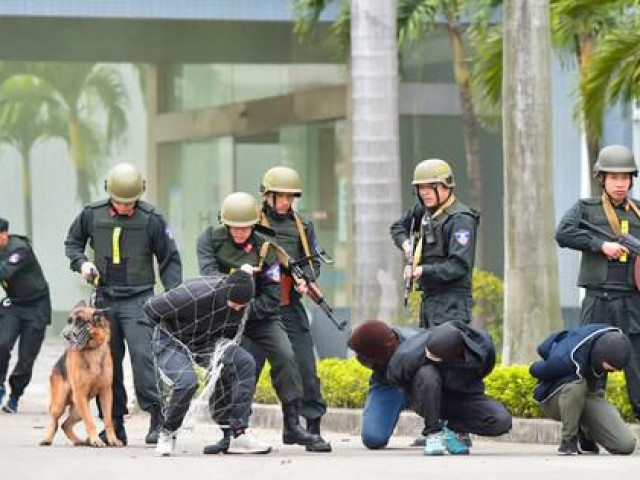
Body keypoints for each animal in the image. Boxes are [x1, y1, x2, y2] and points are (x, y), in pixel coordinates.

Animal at [39, 302, 122, 448]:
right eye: (69, 321)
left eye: (81, 322)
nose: (65, 335)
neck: (92, 350)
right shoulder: (80, 394)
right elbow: (89, 422)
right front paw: (96, 440)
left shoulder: (106, 393)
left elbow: (108, 421)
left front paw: (112, 439)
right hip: (61, 404)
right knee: (55, 422)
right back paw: (47, 439)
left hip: (78, 408)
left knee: (65, 424)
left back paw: (78, 441)